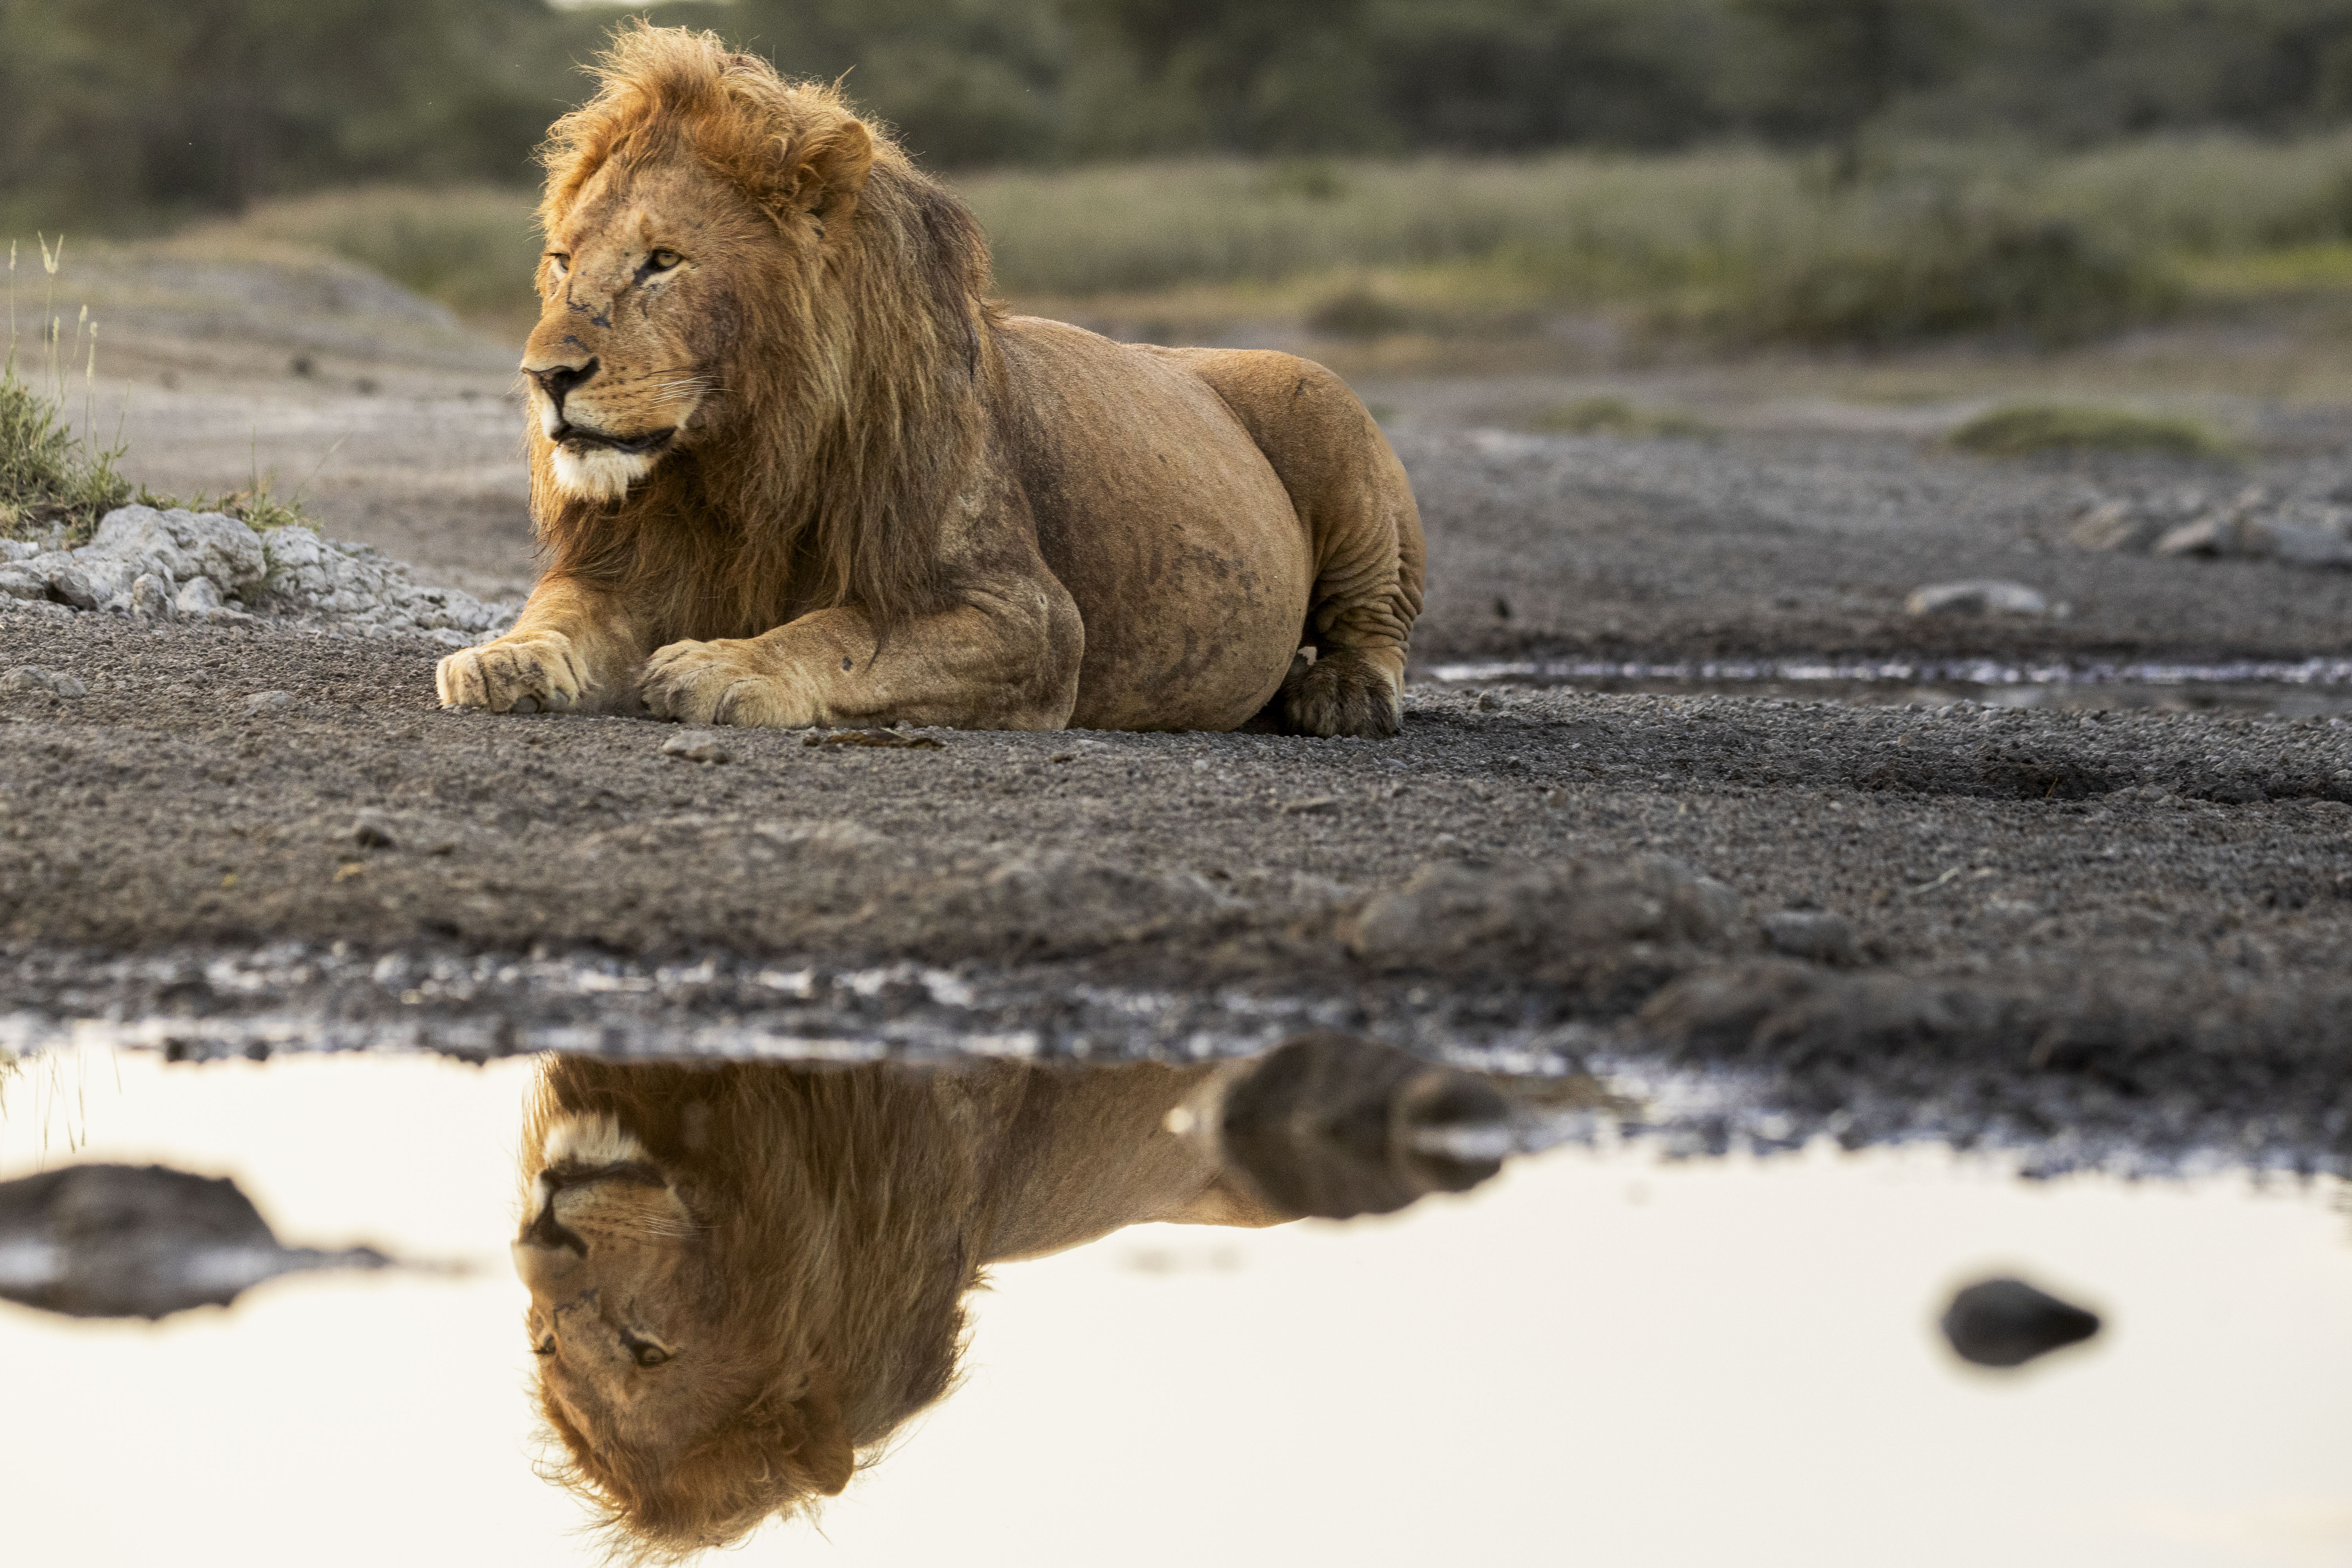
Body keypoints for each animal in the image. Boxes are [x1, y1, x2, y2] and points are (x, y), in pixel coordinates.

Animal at [435, 24, 1423, 738]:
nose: (546, 376)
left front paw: (722, 664)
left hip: (1322, 400)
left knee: (1379, 618)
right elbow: (559, 611)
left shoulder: (1027, 616)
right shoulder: (627, 563)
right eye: (563, 262)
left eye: (663, 262)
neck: (737, 461)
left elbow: (845, 633)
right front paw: (501, 658)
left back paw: (1342, 697)